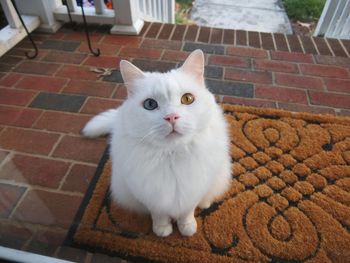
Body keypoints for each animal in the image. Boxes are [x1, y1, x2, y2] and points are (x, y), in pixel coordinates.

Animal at [82, 49, 232, 237]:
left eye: (187, 99)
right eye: (150, 104)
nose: (171, 117)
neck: (171, 155)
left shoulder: (193, 191)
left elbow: (187, 212)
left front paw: (187, 228)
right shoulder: (150, 195)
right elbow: (159, 215)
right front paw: (162, 230)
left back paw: (205, 203)